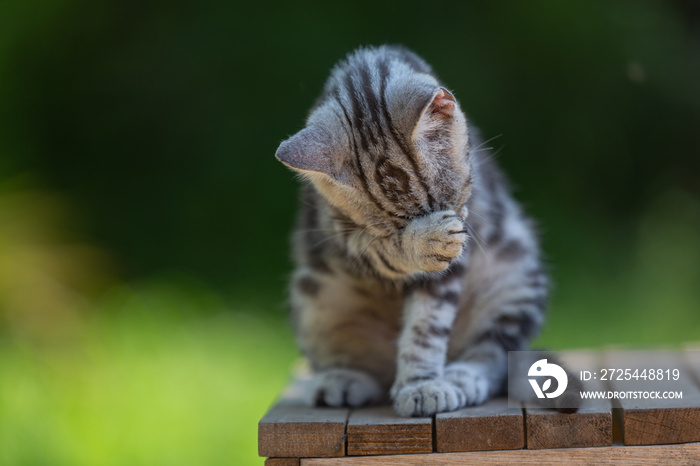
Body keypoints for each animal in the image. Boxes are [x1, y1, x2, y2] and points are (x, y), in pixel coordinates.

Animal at [274, 45, 548, 416]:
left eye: (446, 201)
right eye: (390, 228)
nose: (440, 226)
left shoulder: (464, 238)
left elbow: (427, 325)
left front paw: (421, 386)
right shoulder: (341, 230)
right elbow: (384, 253)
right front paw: (419, 242)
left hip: (515, 281)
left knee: (492, 354)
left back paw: (462, 377)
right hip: (312, 296)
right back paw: (343, 378)